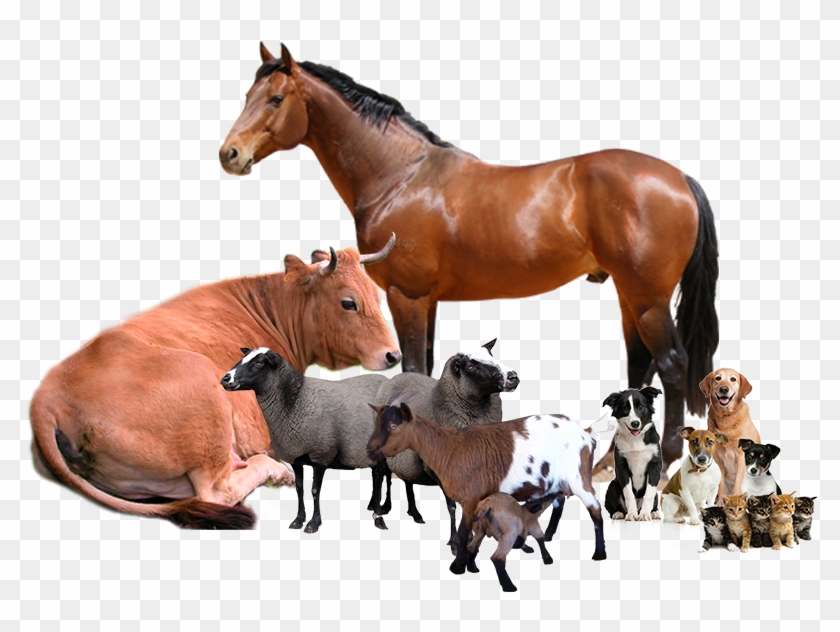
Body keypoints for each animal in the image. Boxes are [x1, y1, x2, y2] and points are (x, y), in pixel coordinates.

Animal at [219, 43, 719, 474]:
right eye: (247, 96)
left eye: (276, 98)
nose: (230, 155)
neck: (402, 177)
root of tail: (680, 178)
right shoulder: (427, 302)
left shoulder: (408, 296)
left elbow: (412, 368)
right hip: (630, 295)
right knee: (640, 363)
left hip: (648, 299)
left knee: (672, 365)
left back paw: (667, 457)